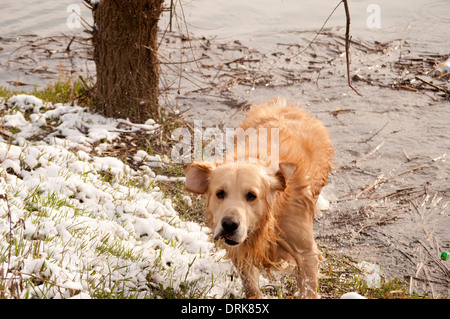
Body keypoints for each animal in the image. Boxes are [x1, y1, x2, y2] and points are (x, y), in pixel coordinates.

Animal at [184, 98, 334, 300]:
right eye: (220, 193)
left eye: (251, 196)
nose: (229, 224)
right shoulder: (239, 249)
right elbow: (251, 286)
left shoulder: (306, 253)